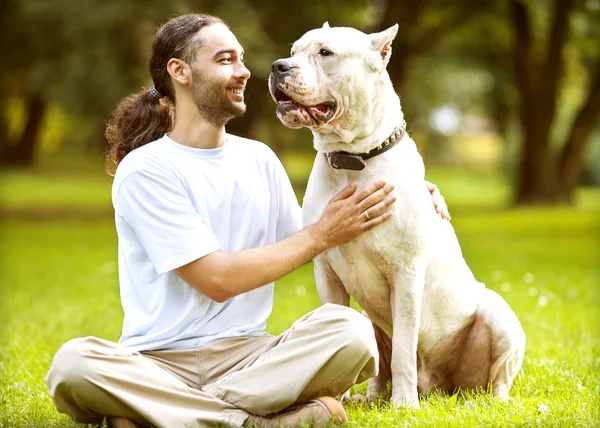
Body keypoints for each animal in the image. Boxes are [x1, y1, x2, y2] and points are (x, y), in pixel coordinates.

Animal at [270, 22, 528, 408]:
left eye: (325, 52)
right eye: (294, 50)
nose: (278, 66)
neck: (354, 159)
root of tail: (440, 387)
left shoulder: (406, 273)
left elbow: (405, 346)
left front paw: (404, 404)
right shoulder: (327, 272)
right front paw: (334, 395)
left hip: (499, 318)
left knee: (495, 383)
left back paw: (472, 401)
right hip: (372, 317)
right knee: (380, 362)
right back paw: (369, 396)